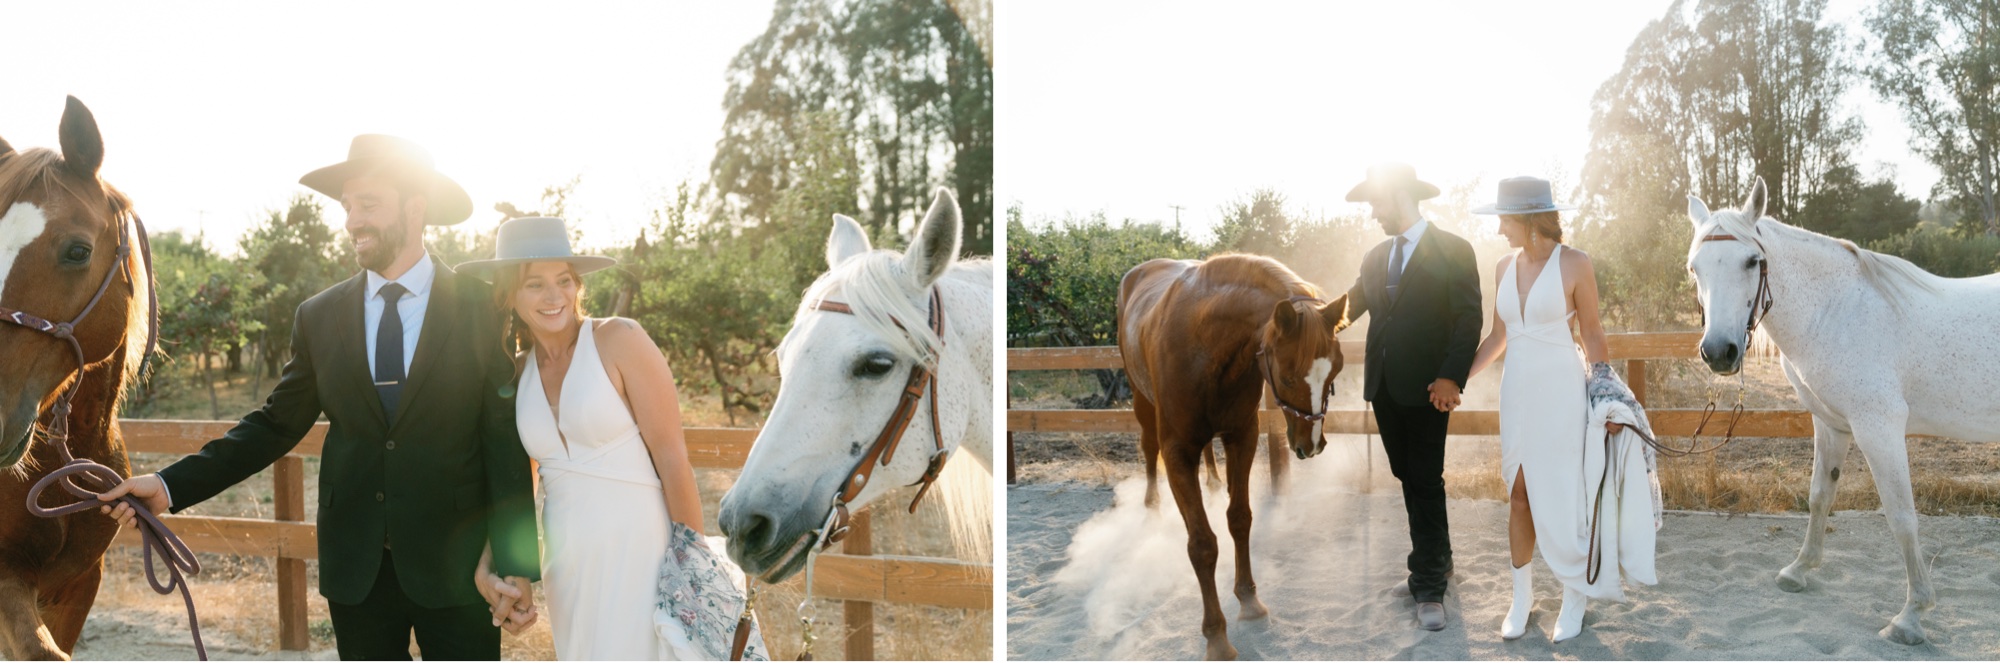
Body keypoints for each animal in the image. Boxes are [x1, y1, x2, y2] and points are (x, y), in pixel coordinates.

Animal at [1120, 252, 1352, 659]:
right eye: (1288, 377)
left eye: (1333, 372)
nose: (1311, 444)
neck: (1203, 343)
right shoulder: (1177, 452)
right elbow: (1202, 545)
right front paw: (1216, 636)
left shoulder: (1242, 437)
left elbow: (1240, 519)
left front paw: (1248, 600)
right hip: (1141, 402)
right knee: (1149, 451)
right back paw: (1151, 506)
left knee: (1209, 462)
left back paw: (1213, 484)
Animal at [1688, 175, 2000, 643]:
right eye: (1695, 267)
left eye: (1751, 261)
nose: (1719, 352)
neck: (1836, 313)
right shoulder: (1831, 425)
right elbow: (1820, 496)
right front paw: (1799, 570)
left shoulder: (1879, 430)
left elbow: (1902, 517)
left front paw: (1911, 615)